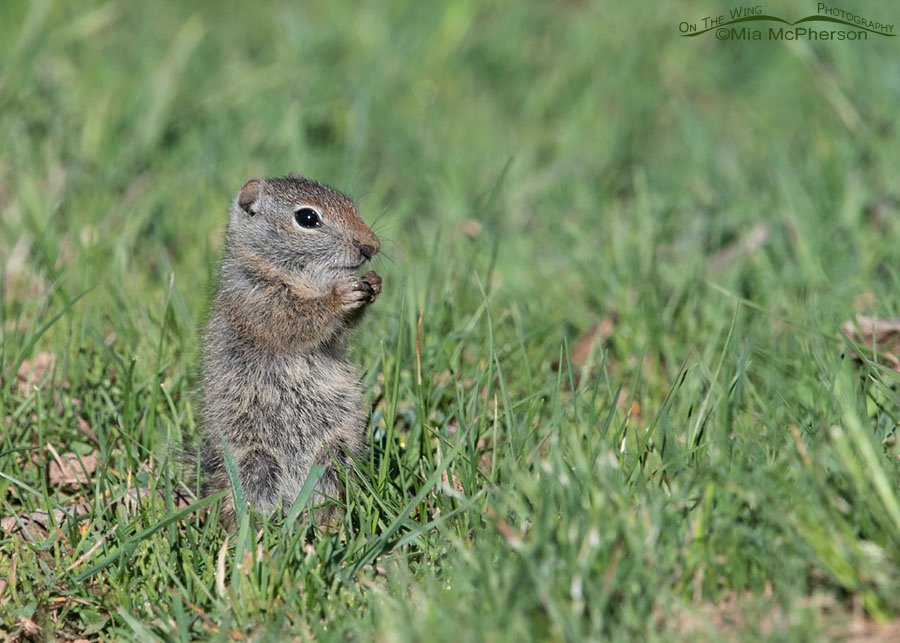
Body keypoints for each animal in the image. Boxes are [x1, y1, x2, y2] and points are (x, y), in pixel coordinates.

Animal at [196, 173, 382, 526]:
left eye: (349, 203)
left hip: (335, 452)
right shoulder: (256, 300)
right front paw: (339, 297)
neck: (307, 278)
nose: (371, 246)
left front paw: (374, 283)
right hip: (254, 464)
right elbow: (295, 323)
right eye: (307, 218)